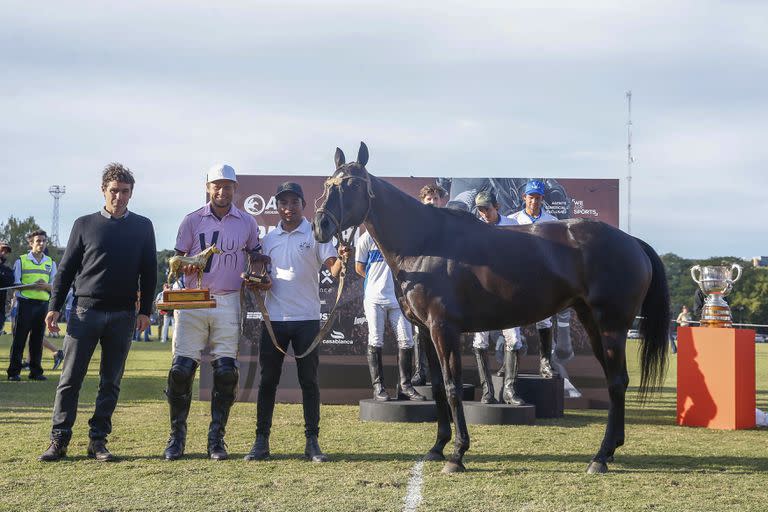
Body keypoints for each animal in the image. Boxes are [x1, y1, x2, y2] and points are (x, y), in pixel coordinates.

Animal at [312, 142, 664, 474]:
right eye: (329, 182)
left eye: (352, 184)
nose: (320, 225)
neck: (425, 242)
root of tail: (632, 242)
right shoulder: (426, 331)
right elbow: (437, 387)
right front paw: (437, 447)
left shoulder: (444, 329)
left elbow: (453, 387)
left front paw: (457, 454)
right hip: (592, 323)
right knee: (616, 381)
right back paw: (611, 449)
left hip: (611, 326)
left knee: (616, 382)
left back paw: (600, 457)